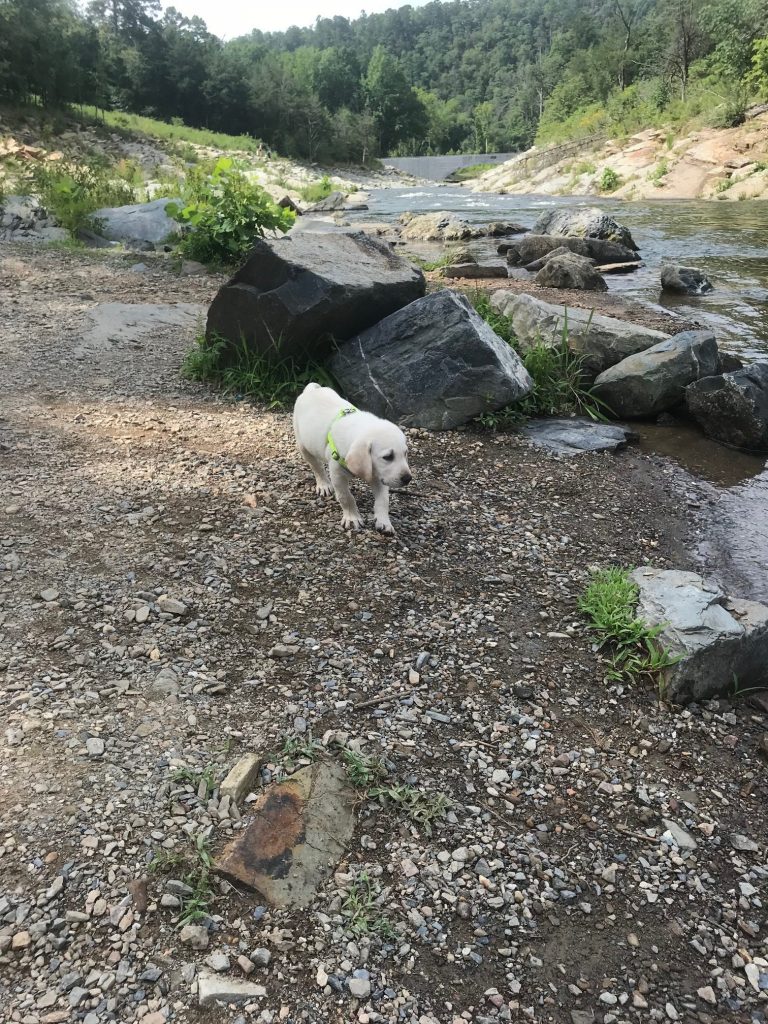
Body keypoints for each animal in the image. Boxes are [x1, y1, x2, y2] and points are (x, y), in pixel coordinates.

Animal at [294, 380, 415, 532]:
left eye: (405, 453)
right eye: (388, 457)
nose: (408, 479)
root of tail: (311, 390)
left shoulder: (379, 475)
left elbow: (383, 500)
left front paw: (384, 522)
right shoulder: (337, 474)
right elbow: (346, 497)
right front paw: (352, 518)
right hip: (303, 445)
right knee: (317, 467)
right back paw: (324, 484)